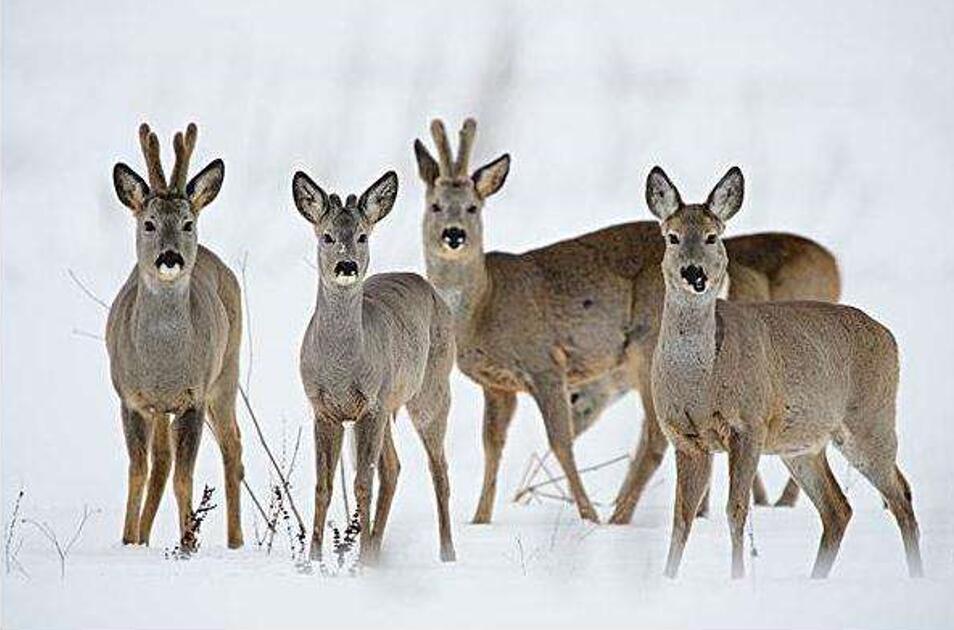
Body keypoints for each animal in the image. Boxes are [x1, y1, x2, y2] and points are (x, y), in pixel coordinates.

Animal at [107, 126, 245, 552]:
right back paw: (144, 535)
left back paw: (236, 541)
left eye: (187, 223)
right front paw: (127, 540)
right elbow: (138, 469)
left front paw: (188, 542)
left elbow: (185, 475)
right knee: (162, 461)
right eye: (149, 223)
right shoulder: (131, 399)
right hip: (162, 409)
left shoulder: (192, 397)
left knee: (233, 445)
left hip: (226, 373)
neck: (162, 364)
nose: (170, 258)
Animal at [294, 169, 458, 568]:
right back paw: (377, 551)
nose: (346, 266)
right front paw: (314, 558)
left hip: (430, 391)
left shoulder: (370, 405)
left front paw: (358, 557)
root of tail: (427, 285)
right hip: (391, 405)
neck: (340, 367)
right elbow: (324, 485)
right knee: (394, 468)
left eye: (362, 235)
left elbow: (361, 483)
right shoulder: (323, 409)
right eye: (327, 235)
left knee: (438, 469)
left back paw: (446, 553)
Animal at [412, 119, 836, 528]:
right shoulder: (497, 385)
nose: (454, 235)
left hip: (647, 349)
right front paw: (479, 519)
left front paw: (587, 515)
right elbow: (492, 446)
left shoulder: (545, 362)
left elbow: (560, 441)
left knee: (655, 437)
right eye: (434, 205)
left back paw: (619, 517)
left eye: (472, 207)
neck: (483, 304)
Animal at [648, 165, 924, 580]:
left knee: (900, 494)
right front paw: (667, 579)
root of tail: (888, 336)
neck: (700, 383)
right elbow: (682, 519)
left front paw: (738, 579)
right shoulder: (685, 437)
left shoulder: (749, 424)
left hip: (870, 419)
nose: (693, 272)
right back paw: (816, 579)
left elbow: (736, 511)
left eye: (713, 236)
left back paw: (915, 576)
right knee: (839, 508)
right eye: (672, 236)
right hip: (803, 444)